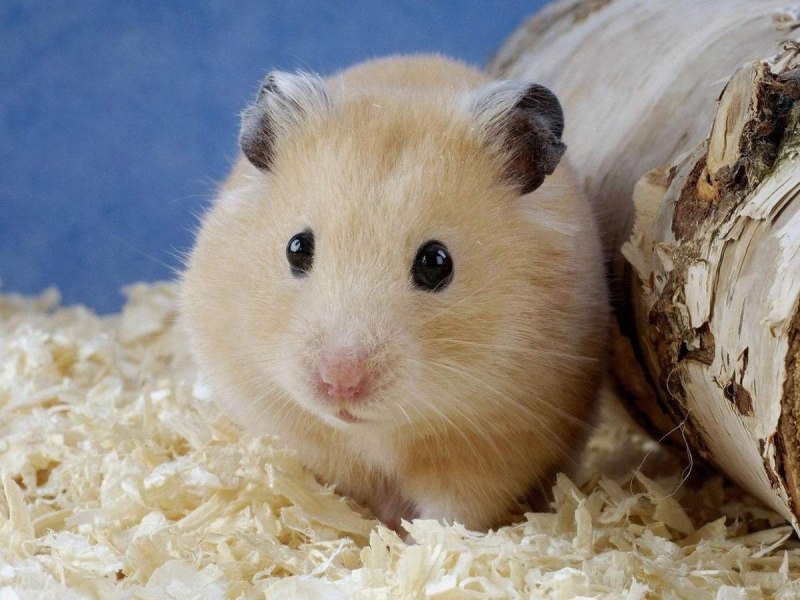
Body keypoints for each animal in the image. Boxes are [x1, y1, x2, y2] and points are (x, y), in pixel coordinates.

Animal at [181, 55, 608, 531]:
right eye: (297, 248)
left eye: (436, 262)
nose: (340, 383)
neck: (376, 431)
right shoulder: (295, 430)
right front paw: (366, 527)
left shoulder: (497, 444)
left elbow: (453, 512)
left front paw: (412, 538)